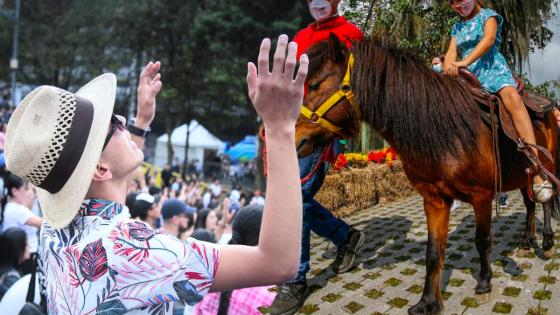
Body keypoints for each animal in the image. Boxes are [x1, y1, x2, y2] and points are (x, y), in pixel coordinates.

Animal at [296, 33, 556, 314]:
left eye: (314, 84)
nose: (296, 140)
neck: (446, 130)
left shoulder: (482, 196)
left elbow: (483, 239)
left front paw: (485, 282)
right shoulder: (434, 200)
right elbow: (433, 252)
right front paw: (428, 301)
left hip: (548, 165)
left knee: (546, 199)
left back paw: (547, 242)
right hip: (522, 174)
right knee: (529, 203)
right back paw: (527, 240)